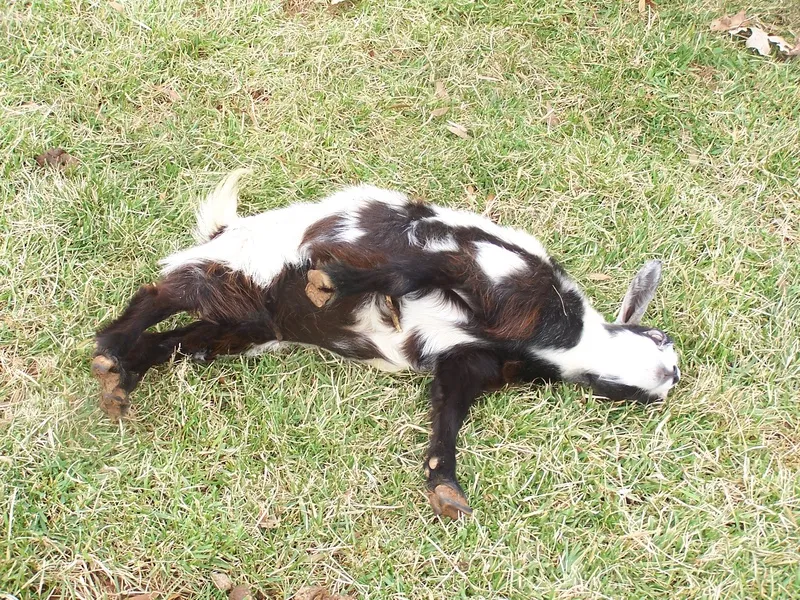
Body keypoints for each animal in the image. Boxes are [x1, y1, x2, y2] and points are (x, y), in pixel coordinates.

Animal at [92, 170, 680, 519]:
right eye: (659, 336)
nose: (670, 375)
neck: (559, 338)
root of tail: (223, 232)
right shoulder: (473, 264)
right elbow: (406, 271)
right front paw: (330, 283)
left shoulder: (467, 362)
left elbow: (447, 413)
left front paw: (445, 487)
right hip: (237, 269)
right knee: (159, 294)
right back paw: (110, 349)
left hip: (245, 324)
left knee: (177, 340)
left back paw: (120, 377)